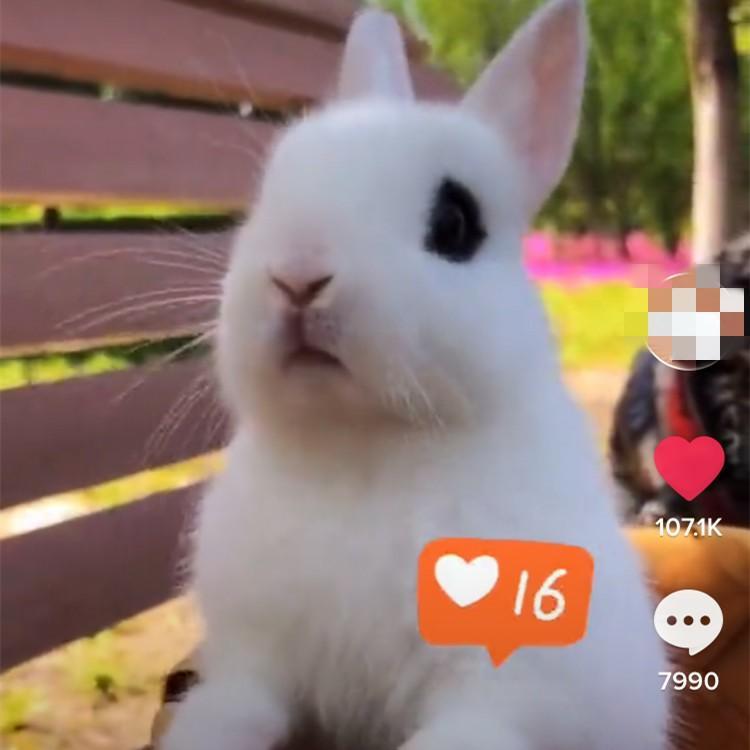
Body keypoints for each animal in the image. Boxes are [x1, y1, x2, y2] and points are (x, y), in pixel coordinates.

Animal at [161, 1, 669, 749]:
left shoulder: (508, 691)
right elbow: (229, 708)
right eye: (271, 190)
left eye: (455, 221)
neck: (366, 445)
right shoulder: (256, 659)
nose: (298, 276)